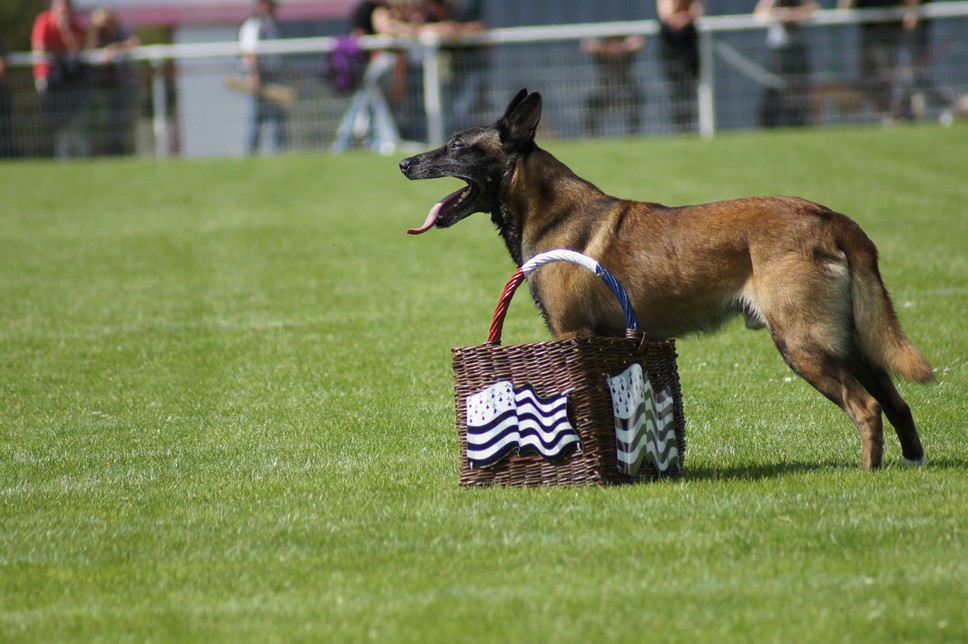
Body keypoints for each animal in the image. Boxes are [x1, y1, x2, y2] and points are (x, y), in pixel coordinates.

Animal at [398, 89, 932, 468]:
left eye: (458, 146)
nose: (404, 162)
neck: (550, 213)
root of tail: (829, 217)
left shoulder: (571, 334)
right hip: (851, 342)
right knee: (897, 403)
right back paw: (910, 463)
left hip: (803, 344)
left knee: (866, 407)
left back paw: (866, 474)